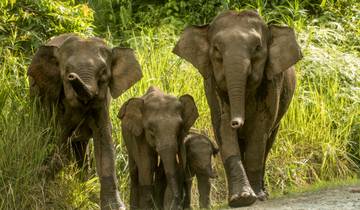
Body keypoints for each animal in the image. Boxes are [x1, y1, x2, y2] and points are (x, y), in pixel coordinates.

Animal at [27, 33, 142, 209]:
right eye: (67, 72)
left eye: (103, 73)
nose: (73, 76)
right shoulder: (52, 99)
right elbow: (58, 134)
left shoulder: (102, 104)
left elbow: (104, 142)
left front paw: (115, 206)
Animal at [173, 9, 302, 207]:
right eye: (216, 49)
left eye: (257, 48)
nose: (237, 123)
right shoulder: (211, 84)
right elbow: (223, 126)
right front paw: (240, 199)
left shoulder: (272, 83)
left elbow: (259, 130)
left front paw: (254, 197)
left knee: (267, 142)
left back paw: (262, 193)